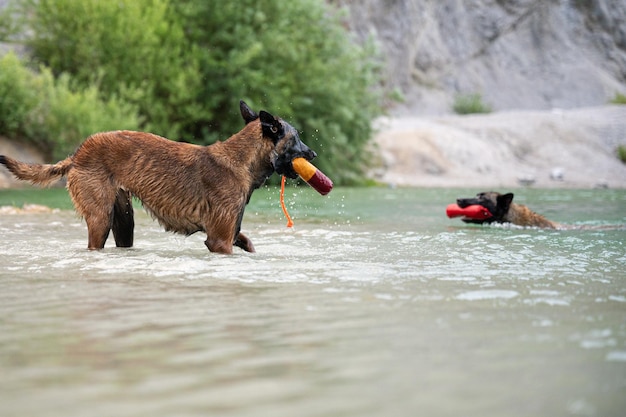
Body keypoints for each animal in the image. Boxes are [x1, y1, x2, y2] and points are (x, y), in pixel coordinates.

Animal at [0, 100, 316, 254]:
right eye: (297, 138)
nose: (312, 153)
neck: (242, 160)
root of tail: (77, 154)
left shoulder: (228, 231)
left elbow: (248, 243)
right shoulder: (219, 240)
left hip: (123, 219)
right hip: (100, 218)